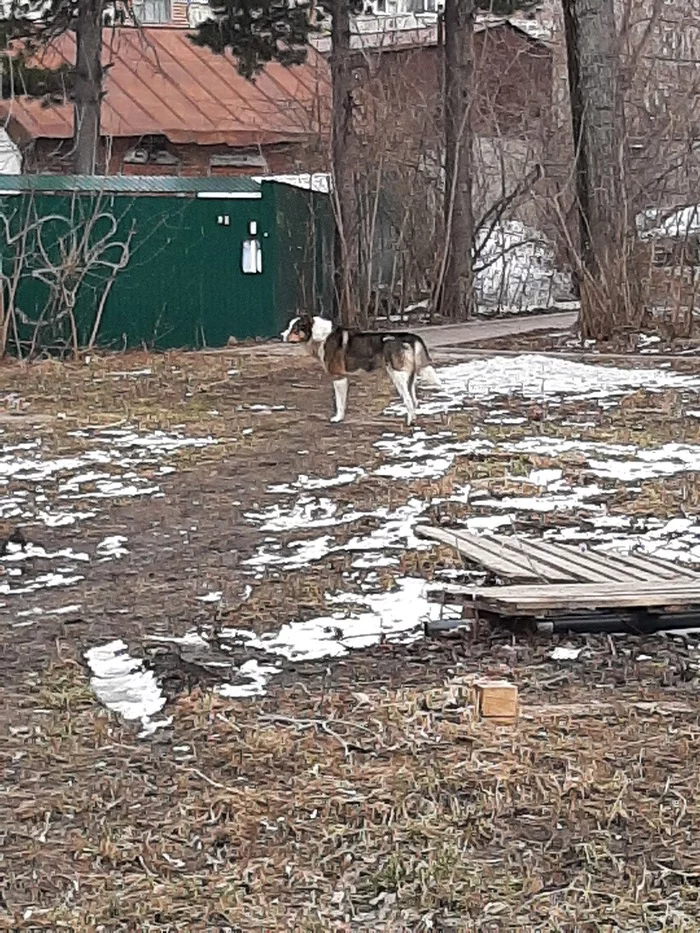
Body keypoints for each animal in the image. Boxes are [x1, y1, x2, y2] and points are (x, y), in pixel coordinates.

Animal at [280, 314, 440, 428]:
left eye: (294, 328)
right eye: (289, 326)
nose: (281, 335)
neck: (320, 336)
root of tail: (410, 337)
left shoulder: (338, 378)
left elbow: (339, 402)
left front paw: (337, 418)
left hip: (398, 377)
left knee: (408, 400)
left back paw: (409, 422)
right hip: (409, 379)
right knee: (414, 400)